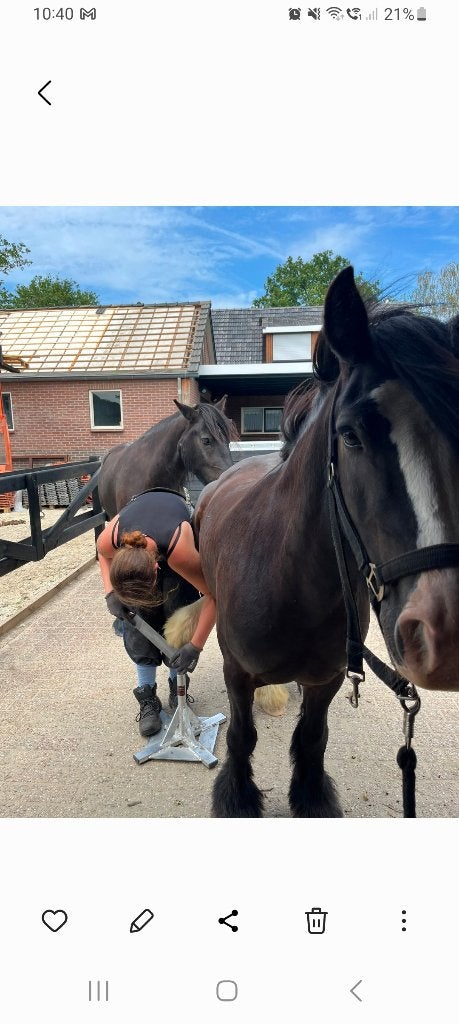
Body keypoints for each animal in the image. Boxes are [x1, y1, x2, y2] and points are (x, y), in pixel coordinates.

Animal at [194, 266, 459, 817]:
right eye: (351, 435)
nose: (444, 636)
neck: (291, 580)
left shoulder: (328, 679)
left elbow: (312, 739)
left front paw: (311, 796)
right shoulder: (237, 675)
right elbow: (242, 738)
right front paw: (239, 797)